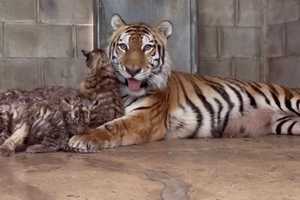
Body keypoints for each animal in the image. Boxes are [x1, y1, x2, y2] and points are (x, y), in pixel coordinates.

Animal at [65, 14, 300, 152]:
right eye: (123, 47)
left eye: (147, 47)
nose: (132, 70)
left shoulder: (145, 117)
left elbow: (113, 127)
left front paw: (83, 139)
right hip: (285, 123)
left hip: (289, 99)